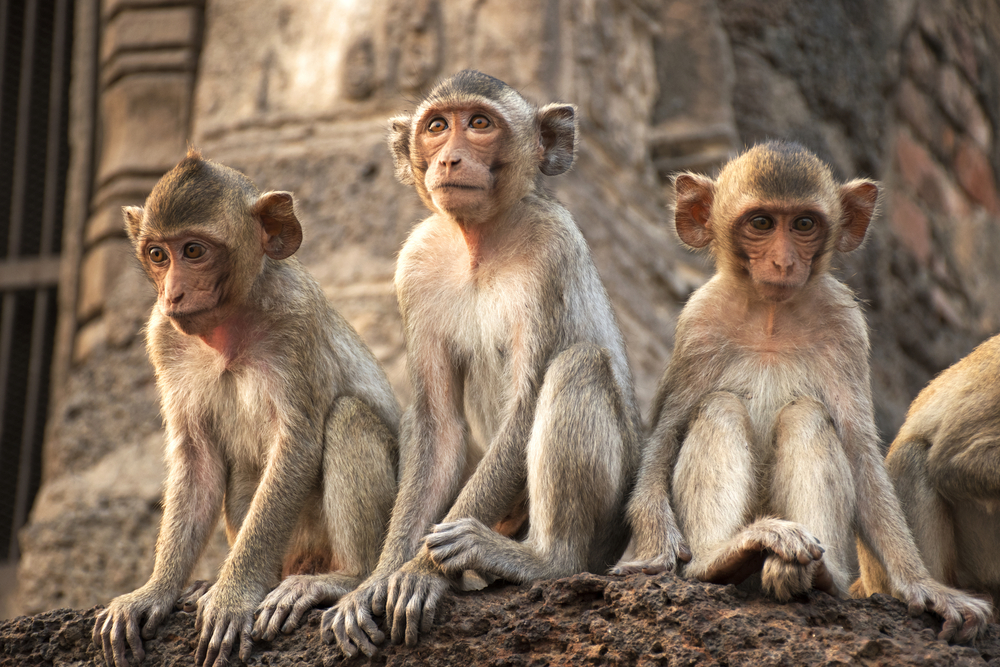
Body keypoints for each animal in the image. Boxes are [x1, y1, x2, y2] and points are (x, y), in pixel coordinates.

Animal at [92, 149, 400, 667]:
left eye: (194, 251)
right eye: (158, 254)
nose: (173, 293)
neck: (229, 327)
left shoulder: (295, 318)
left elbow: (297, 446)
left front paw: (232, 596)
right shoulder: (163, 335)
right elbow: (197, 459)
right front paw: (155, 592)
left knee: (348, 418)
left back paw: (341, 579)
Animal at [323, 70, 644, 657]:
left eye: (478, 124)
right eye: (436, 127)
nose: (450, 158)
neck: (479, 240)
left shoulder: (550, 250)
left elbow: (524, 409)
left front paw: (420, 572)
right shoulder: (415, 263)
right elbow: (439, 426)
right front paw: (377, 580)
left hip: (609, 528)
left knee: (579, 364)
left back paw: (543, 560)